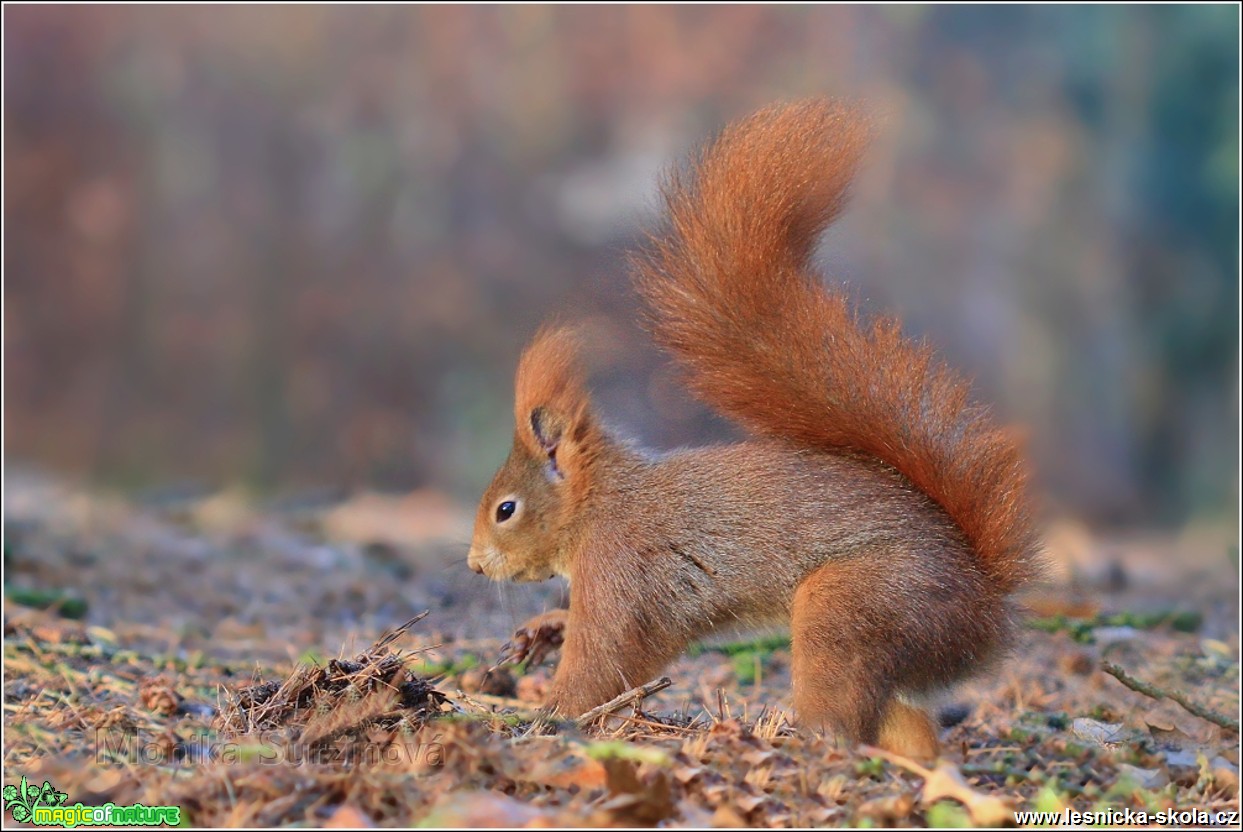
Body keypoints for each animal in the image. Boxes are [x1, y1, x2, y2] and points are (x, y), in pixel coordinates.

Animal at [467, 100, 1039, 756]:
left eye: (506, 509)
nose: (475, 566)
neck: (604, 502)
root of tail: (988, 604)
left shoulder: (623, 568)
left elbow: (607, 659)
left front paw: (547, 714)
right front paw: (542, 630)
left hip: (856, 605)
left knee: (843, 721)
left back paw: (797, 738)